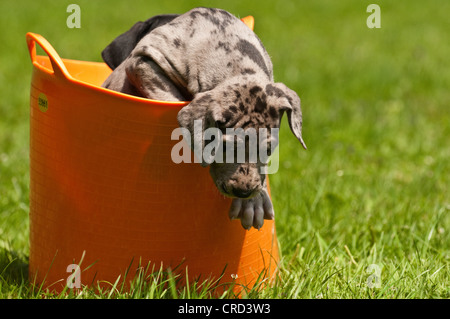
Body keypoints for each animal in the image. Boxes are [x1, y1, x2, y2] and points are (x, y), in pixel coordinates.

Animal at [101, 6, 306, 230]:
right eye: (225, 148)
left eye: (268, 150)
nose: (243, 192)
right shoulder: (144, 61)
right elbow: (169, 96)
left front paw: (254, 202)